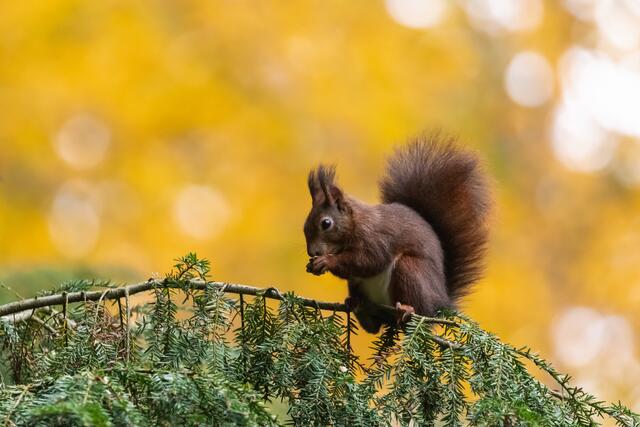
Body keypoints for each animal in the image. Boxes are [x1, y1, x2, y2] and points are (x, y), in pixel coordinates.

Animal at [304, 132, 491, 333]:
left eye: (326, 223)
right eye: (304, 226)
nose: (312, 252)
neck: (355, 223)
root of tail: (441, 302)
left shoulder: (376, 238)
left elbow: (369, 260)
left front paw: (327, 261)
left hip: (409, 270)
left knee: (418, 310)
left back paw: (407, 310)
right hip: (357, 285)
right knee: (374, 326)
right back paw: (358, 306)